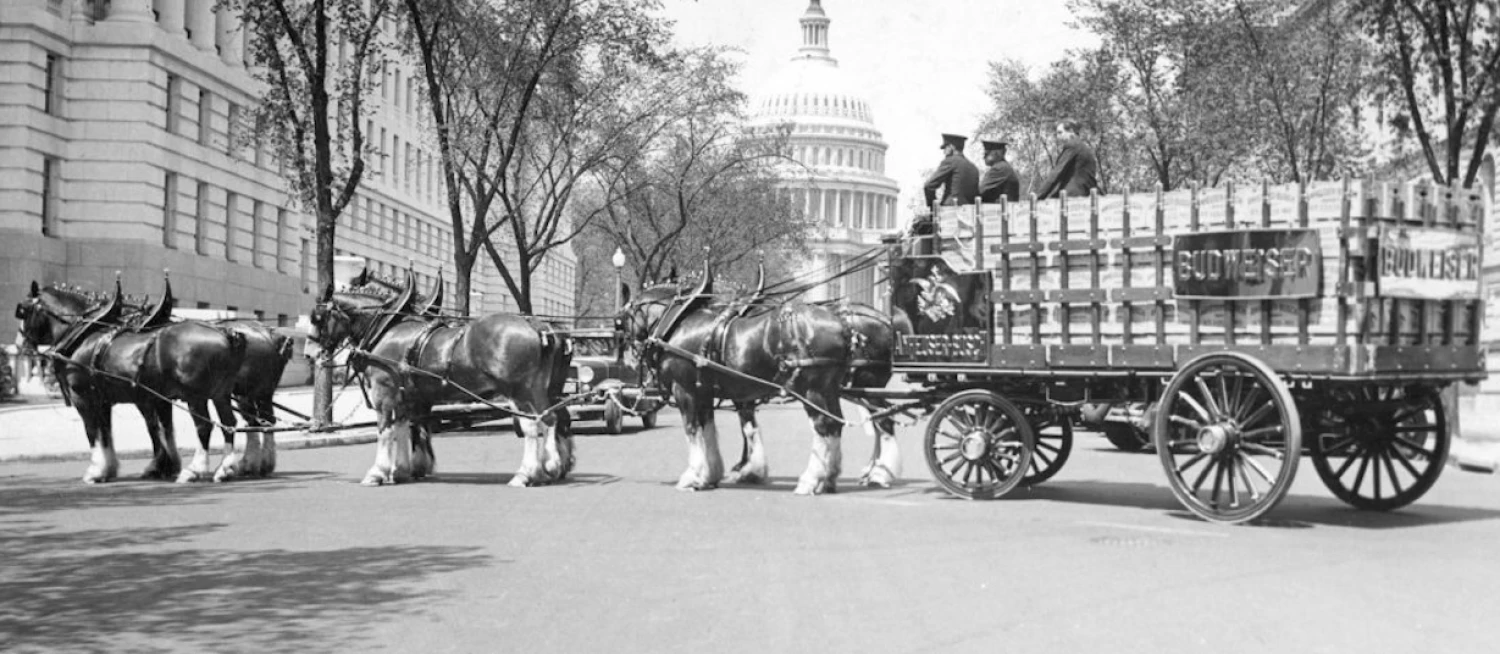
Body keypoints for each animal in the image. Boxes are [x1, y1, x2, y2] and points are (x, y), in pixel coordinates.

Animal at [15, 279, 246, 483]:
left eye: (23, 311)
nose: (21, 346)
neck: (85, 336)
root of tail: (226, 334)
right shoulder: (106, 400)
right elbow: (107, 432)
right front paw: (108, 468)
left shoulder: (83, 396)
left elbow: (92, 431)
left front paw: (95, 470)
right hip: (220, 394)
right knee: (229, 424)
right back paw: (225, 468)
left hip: (195, 396)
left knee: (204, 427)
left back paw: (194, 470)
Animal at [310, 271, 573, 486]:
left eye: (317, 317)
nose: (310, 353)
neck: (388, 328)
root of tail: (535, 326)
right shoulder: (406, 394)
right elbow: (403, 426)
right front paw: (401, 470)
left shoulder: (384, 391)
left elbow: (385, 430)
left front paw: (377, 472)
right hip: (540, 389)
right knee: (551, 418)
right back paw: (550, 467)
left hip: (519, 391)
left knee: (534, 425)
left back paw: (527, 473)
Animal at [621, 268, 858, 492]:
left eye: (623, 319)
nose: (630, 357)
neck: (678, 321)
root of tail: (842, 325)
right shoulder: (704, 392)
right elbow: (708, 429)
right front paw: (710, 475)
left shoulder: (684, 390)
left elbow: (692, 429)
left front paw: (692, 476)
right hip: (828, 389)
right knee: (836, 423)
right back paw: (829, 478)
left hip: (809, 389)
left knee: (822, 425)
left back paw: (811, 479)